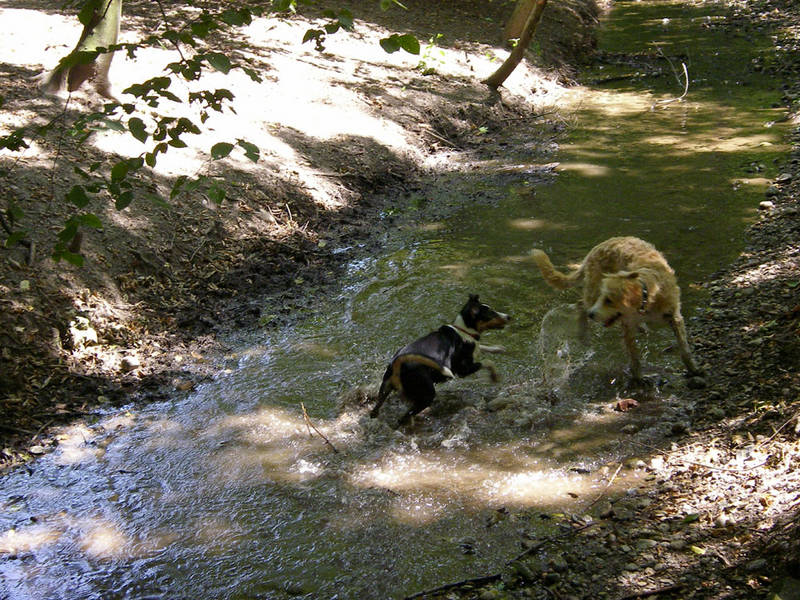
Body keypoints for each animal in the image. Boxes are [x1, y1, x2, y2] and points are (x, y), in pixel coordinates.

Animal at [370, 292, 512, 424]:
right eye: (491, 313)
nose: (509, 317)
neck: (464, 331)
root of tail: (398, 362)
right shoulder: (463, 370)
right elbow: (488, 362)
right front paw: (494, 377)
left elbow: (482, 347)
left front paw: (498, 348)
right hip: (427, 395)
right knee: (403, 418)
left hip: (385, 389)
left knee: (375, 411)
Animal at [536, 237, 704, 382]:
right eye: (604, 298)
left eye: (609, 300)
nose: (592, 315)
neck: (648, 292)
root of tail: (594, 250)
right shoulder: (627, 324)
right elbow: (634, 354)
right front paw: (639, 377)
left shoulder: (674, 316)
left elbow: (684, 347)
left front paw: (693, 368)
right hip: (593, 290)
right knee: (581, 306)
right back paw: (583, 331)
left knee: (581, 306)